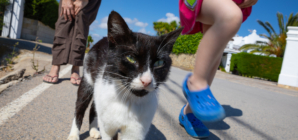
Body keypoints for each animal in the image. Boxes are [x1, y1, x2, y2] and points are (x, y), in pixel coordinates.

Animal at [67, 11, 183, 140]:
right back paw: (74, 134)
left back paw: (93, 130)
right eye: (131, 58)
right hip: (87, 81)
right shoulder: (108, 125)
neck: (128, 100)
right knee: (80, 108)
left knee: (94, 107)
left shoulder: (136, 130)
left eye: (159, 63)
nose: (146, 80)